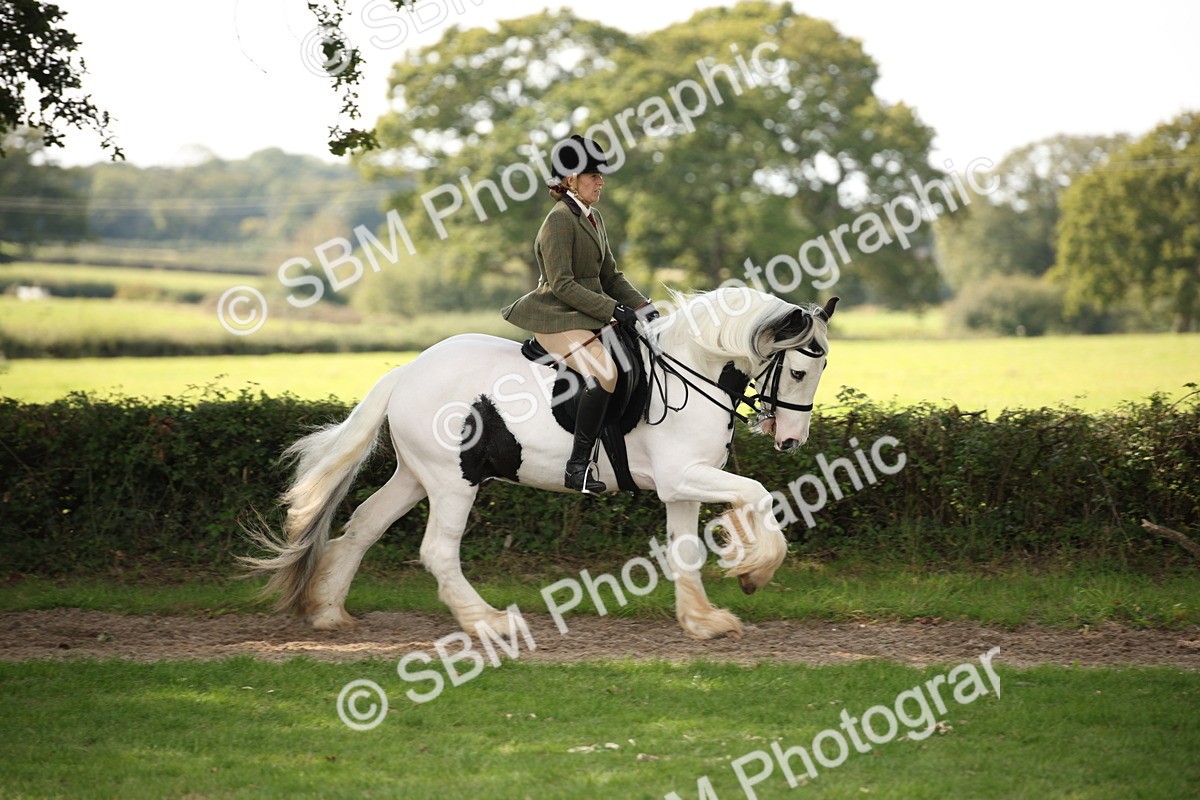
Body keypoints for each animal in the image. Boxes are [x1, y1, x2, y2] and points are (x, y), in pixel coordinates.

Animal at [242, 287, 837, 640]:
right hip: (453, 481)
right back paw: (488, 623)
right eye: (801, 371)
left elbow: (686, 548)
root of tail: (407, 371)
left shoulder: (682, 485)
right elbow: (757, 492)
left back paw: (328, 611)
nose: (790, 442)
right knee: (437, 551)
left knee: (362, 527)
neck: (692, 369)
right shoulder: (682, 476)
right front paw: (754, 569)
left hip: (415, 477)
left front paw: (704, 621)